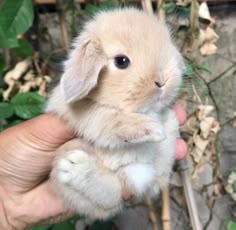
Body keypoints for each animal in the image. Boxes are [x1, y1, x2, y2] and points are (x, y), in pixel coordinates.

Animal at [46, 7, 184, 219]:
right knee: (111, 194)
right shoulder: (86, 117)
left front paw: (160, 125)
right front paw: (152, 130)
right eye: (121, 61)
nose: (162, 81)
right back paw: (75, 168)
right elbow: (110, 119)